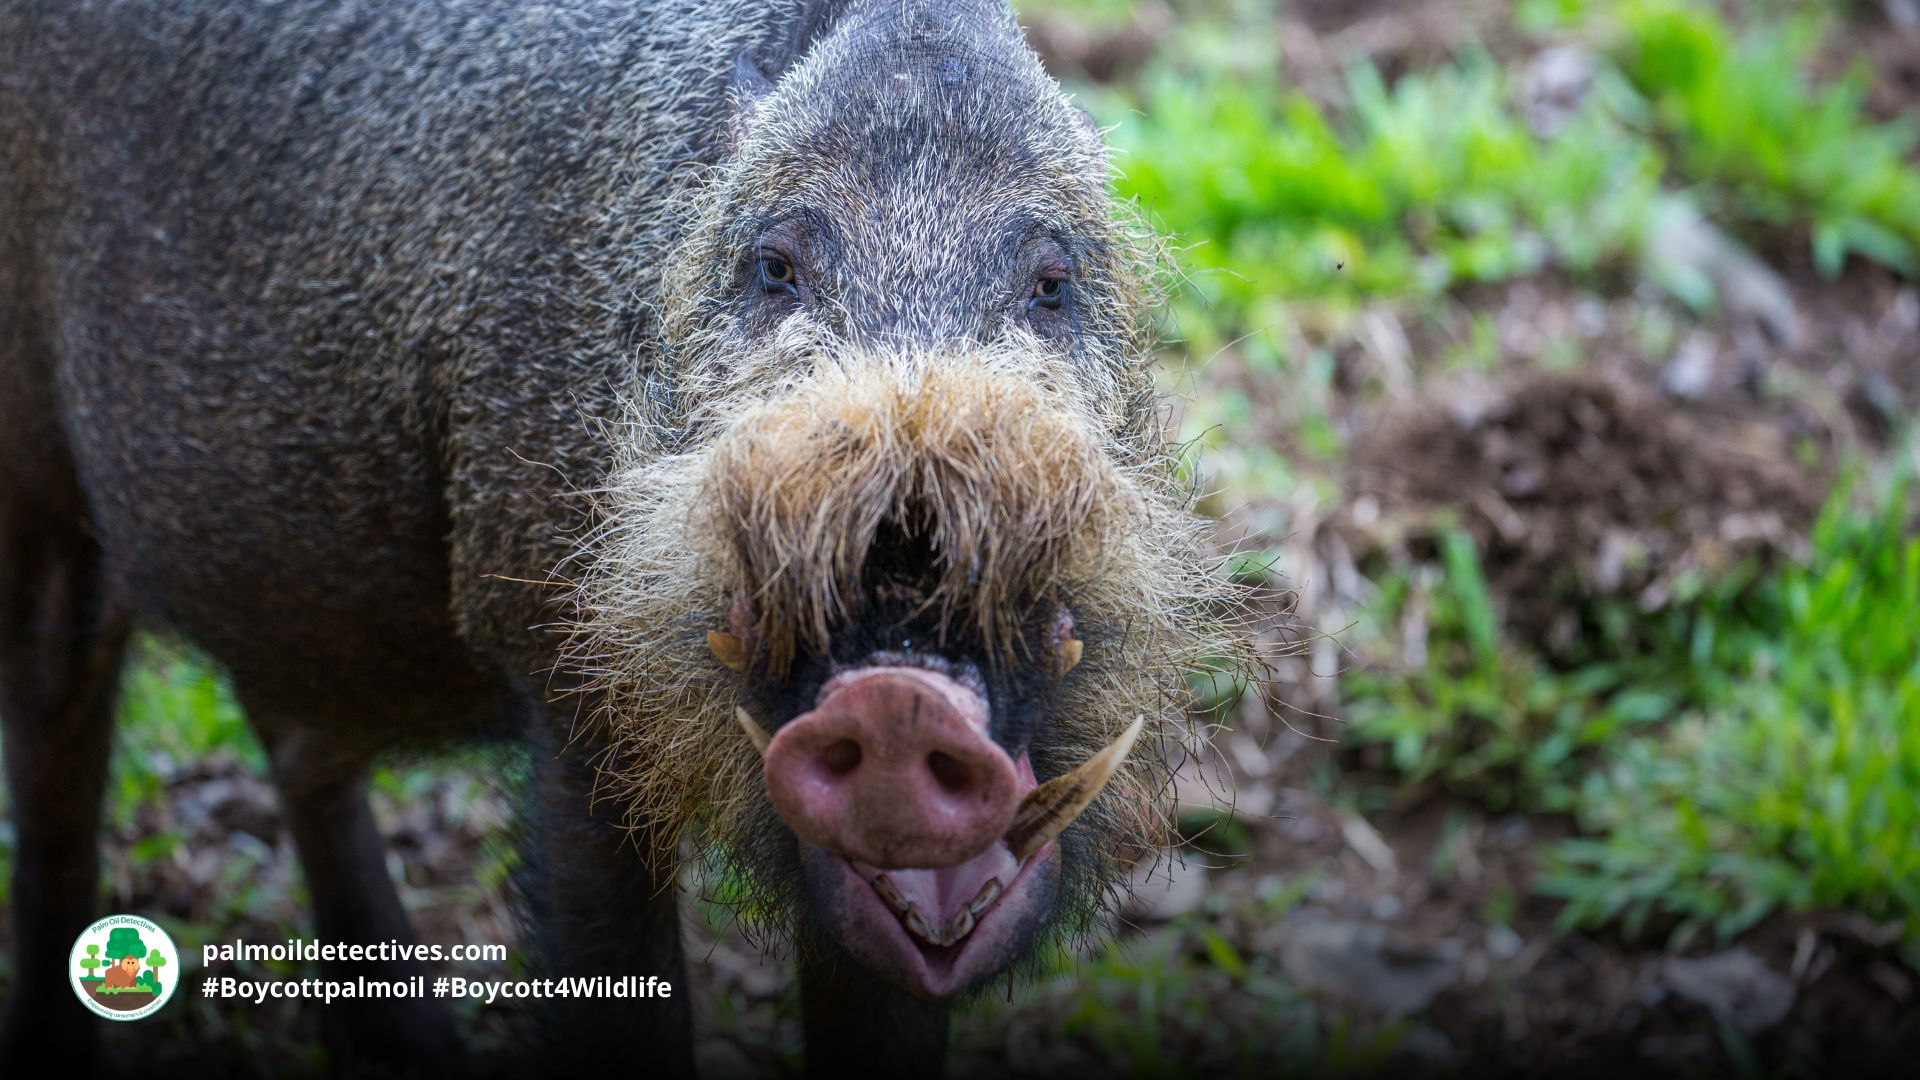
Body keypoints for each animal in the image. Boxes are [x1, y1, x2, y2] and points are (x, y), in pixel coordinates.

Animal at [0, 0, 1243, 1073]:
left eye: (1050, 284)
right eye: (776, 268)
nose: (901, 695)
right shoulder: (560, 669)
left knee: (296, 741)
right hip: (40, 495)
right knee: (60, 759)